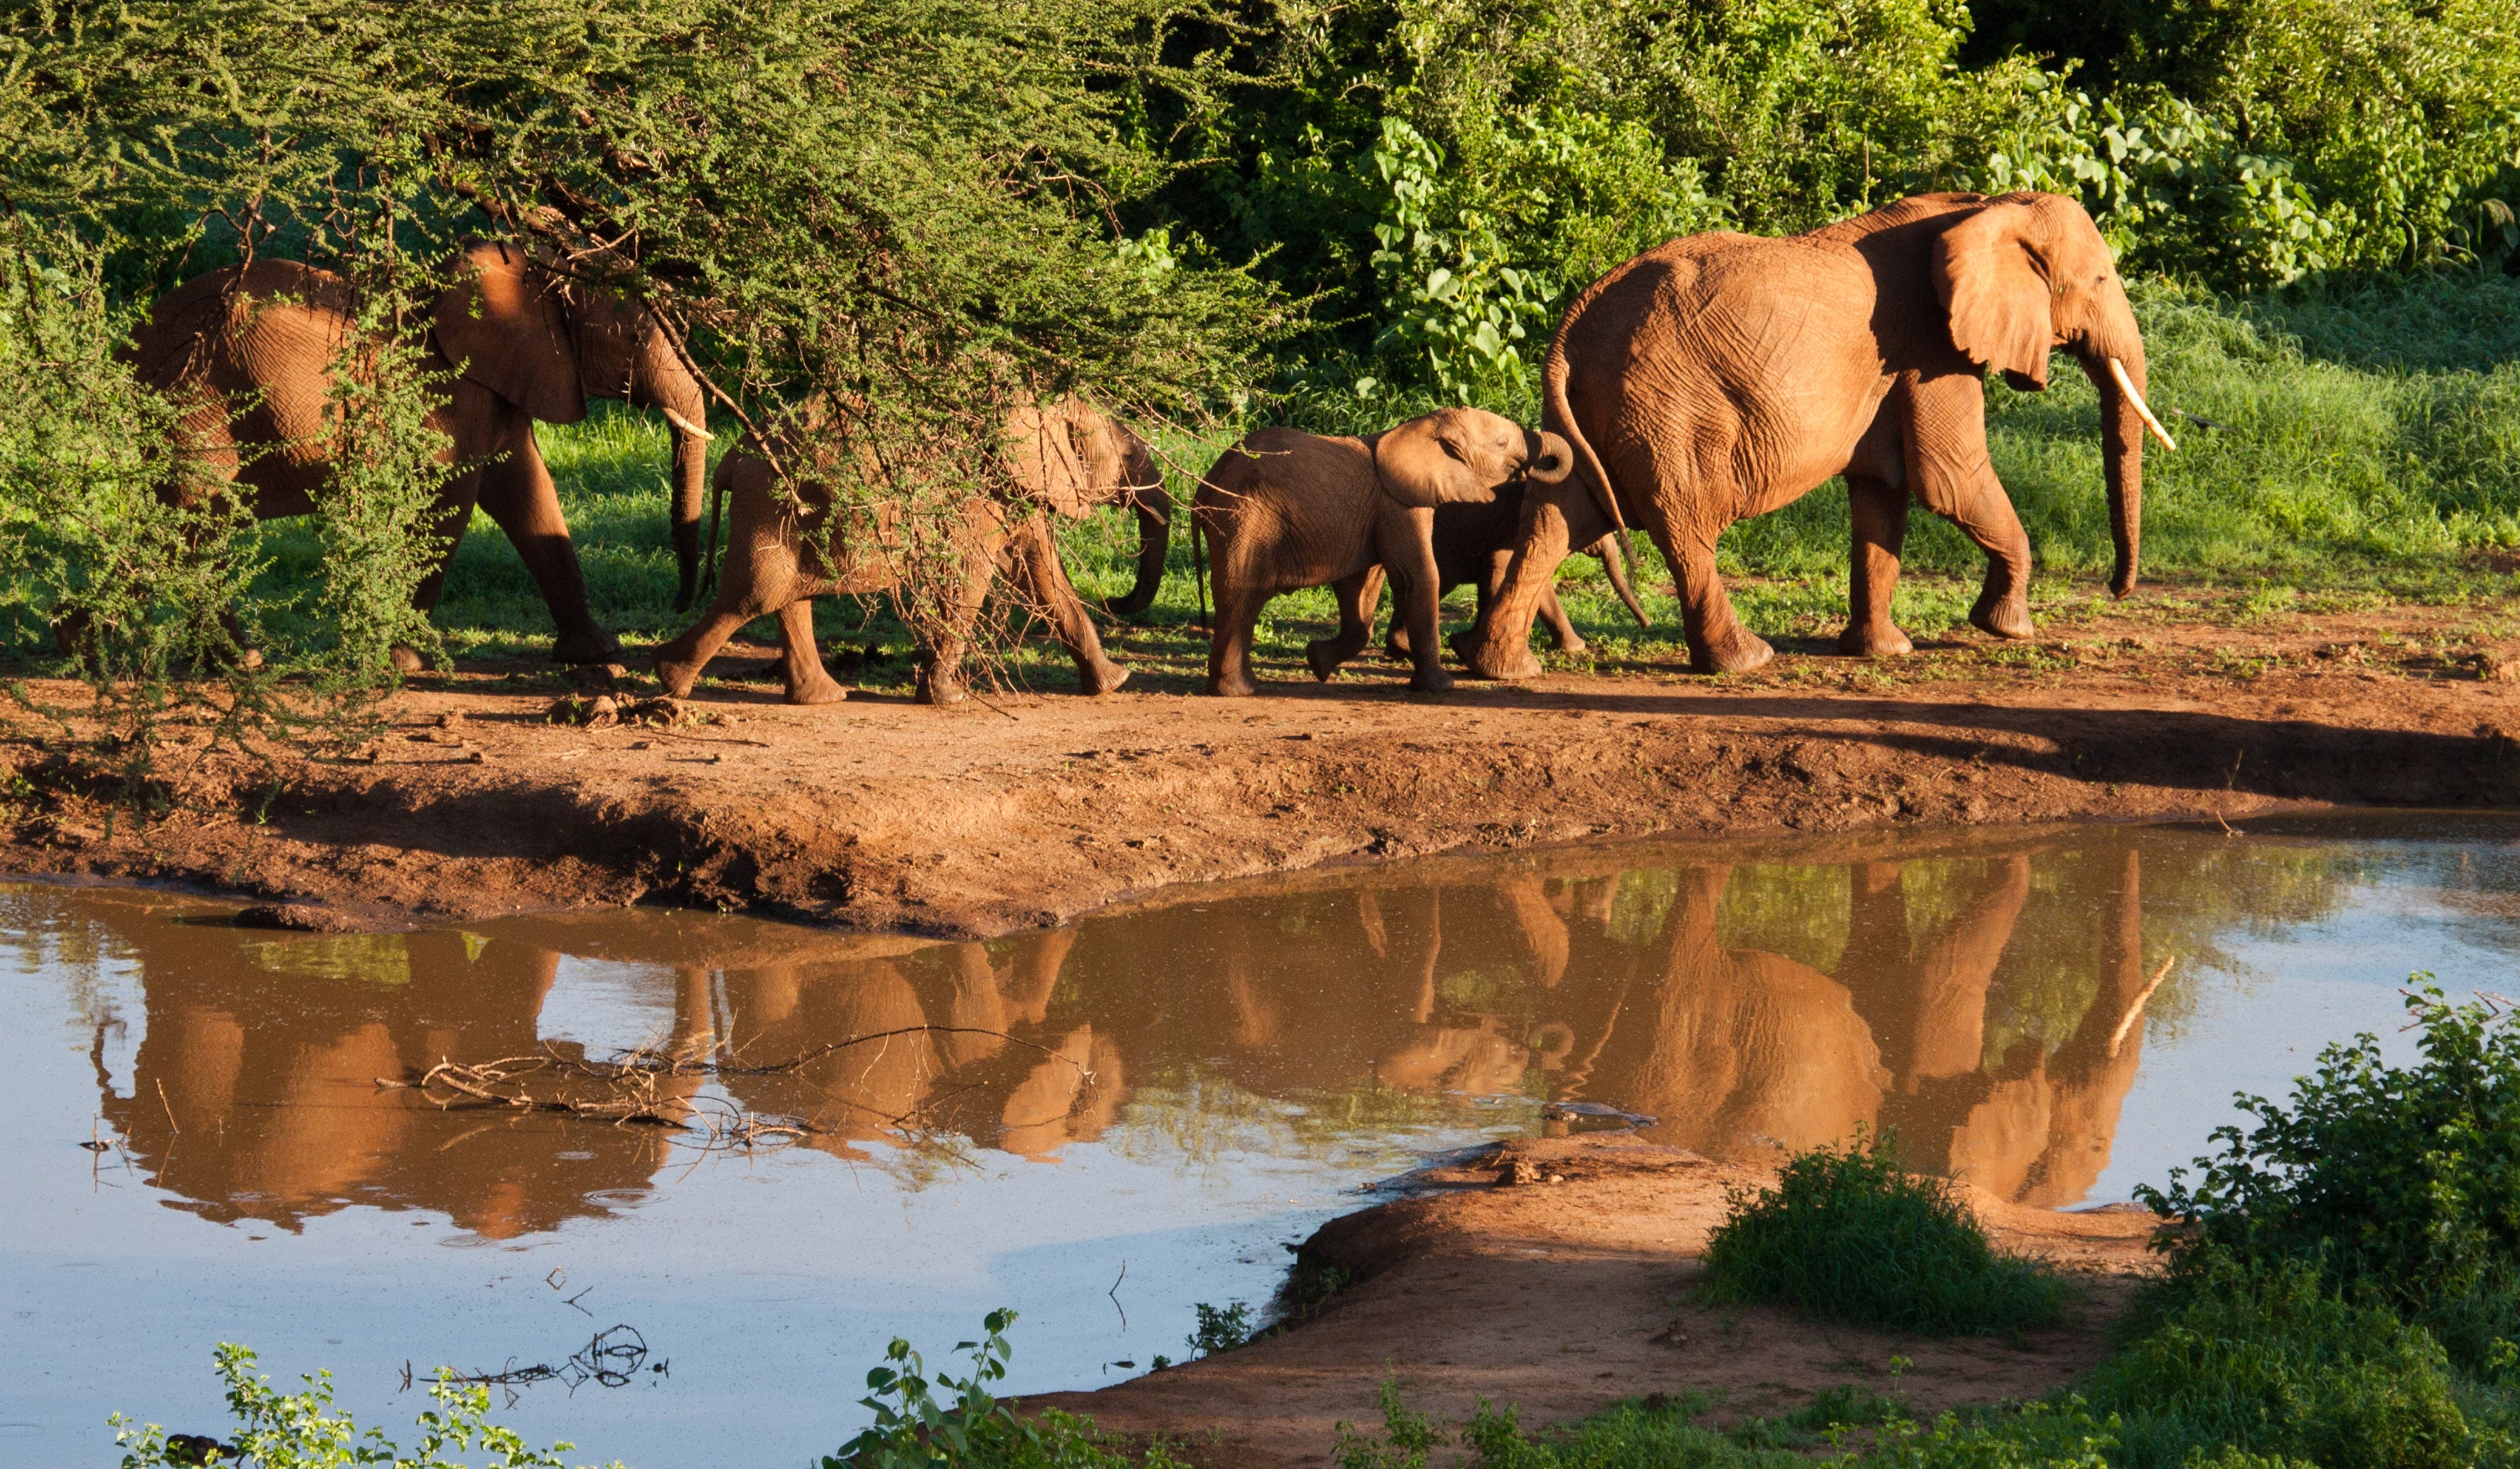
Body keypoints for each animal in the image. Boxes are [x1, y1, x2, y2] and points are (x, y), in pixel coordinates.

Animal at [124, 243, 714, 666]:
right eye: (629, 337)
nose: (680, 601)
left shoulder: (498, 383)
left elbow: (527, 492)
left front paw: (596, 653)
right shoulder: (451, 392)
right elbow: (451, 503)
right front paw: (405, 661)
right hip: (199, 398)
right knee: (194, 523)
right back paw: (233, 660)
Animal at [652, 394, 1158, 705]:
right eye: (1130, 456)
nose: (1118, 600)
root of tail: (732, 456)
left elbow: (1043, 576)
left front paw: (1114, 683)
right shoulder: (980, 494)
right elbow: (974, 576)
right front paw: (948, 700)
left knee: (786, 596)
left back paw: (823, 698)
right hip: (769, 503)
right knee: (755, 594)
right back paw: (670, 681)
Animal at [1192, 407, 1574, 697]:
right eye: (1502, 443)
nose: (1532, 468)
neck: (1420, 428)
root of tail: (1204, 490)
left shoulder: (1374, 514)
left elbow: (1360, 588)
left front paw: (1317, 662)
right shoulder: (1399, 505)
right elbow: (1418, 578)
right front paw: (1440, 688)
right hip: (1243, 522)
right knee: (1240, 599)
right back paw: (1239, 691)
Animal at [1456, 190, 2181, 679]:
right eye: (2100, 280)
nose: (2118, 591)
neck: (1984, 206)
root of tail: (1570, 329)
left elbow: (1882, 492)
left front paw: (1884, 651)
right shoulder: (1931, 348)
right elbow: (1949, 479)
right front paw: (2008, 630)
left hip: (1600, 411)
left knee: (1559, 516)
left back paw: (1500, 668)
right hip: (1668, 411)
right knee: (1685, 523)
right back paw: (1746, 660)